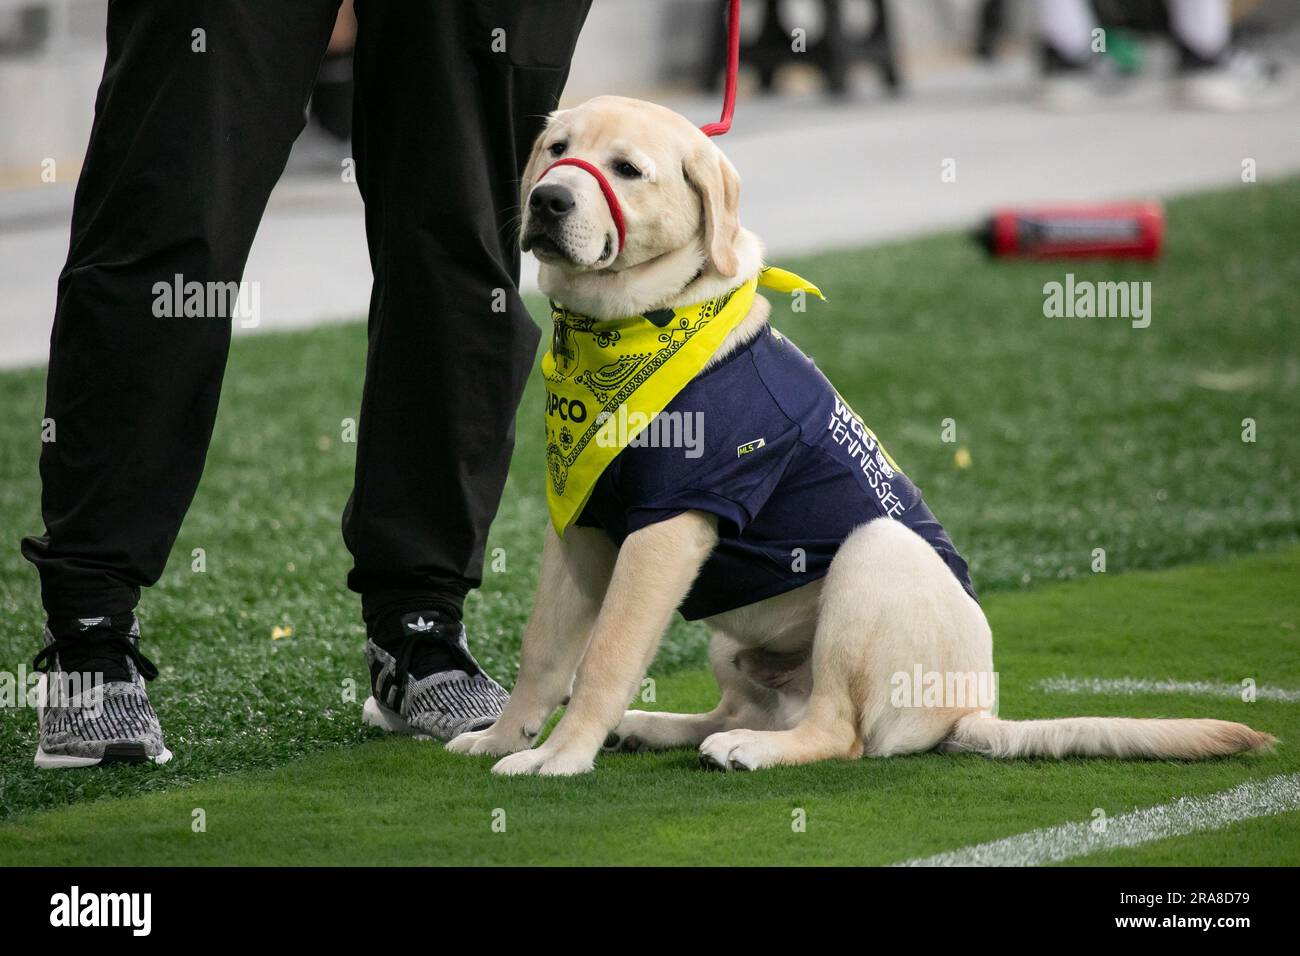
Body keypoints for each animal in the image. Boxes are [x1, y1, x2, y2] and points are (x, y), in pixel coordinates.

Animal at [447, 93, 1268, 775]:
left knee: (835, 732)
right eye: (556, 149)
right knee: (743, 707)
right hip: (735, 644)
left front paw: (561, 757)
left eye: (627, 170)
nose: (549, 199)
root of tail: (972, 712)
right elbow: (544, 652)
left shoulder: (668, 529)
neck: (629, 328)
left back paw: (744, 749)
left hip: (873, 558)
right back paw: (657, 728)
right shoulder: (581, 523)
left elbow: (607, 657)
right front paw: (505, 738)